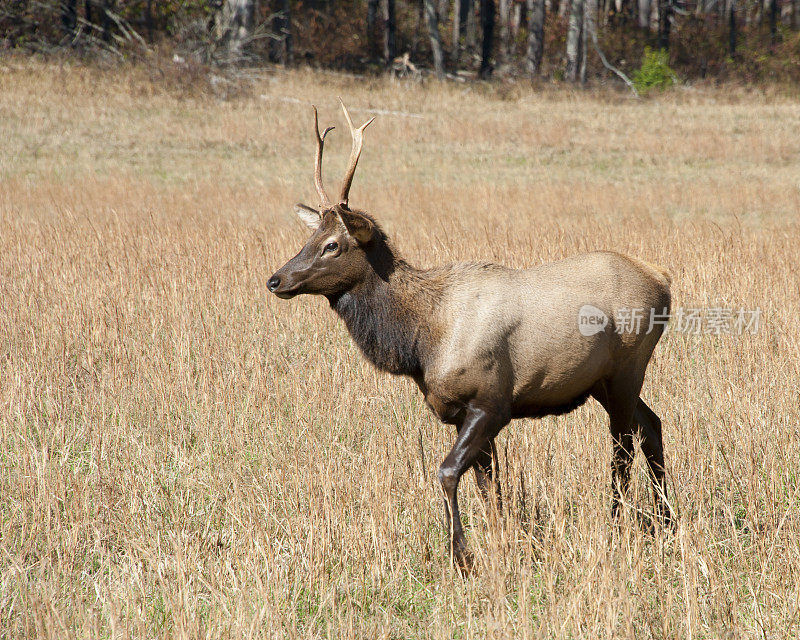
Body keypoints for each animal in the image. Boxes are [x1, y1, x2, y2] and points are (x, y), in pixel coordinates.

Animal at [270, 101, 676, 568]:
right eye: (309, 237)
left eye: (333, 244)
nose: (276, 280)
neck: (421, 342)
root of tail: (664, 281)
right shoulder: (461, 412)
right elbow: (491, 488)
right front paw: (503, 547)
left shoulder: (491, 401)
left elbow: (448, 472)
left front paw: (463, 556)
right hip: (601, 381)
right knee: (652, 425)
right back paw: (667, 521)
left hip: (628, 366)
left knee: (622, 444)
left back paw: (618, 524)